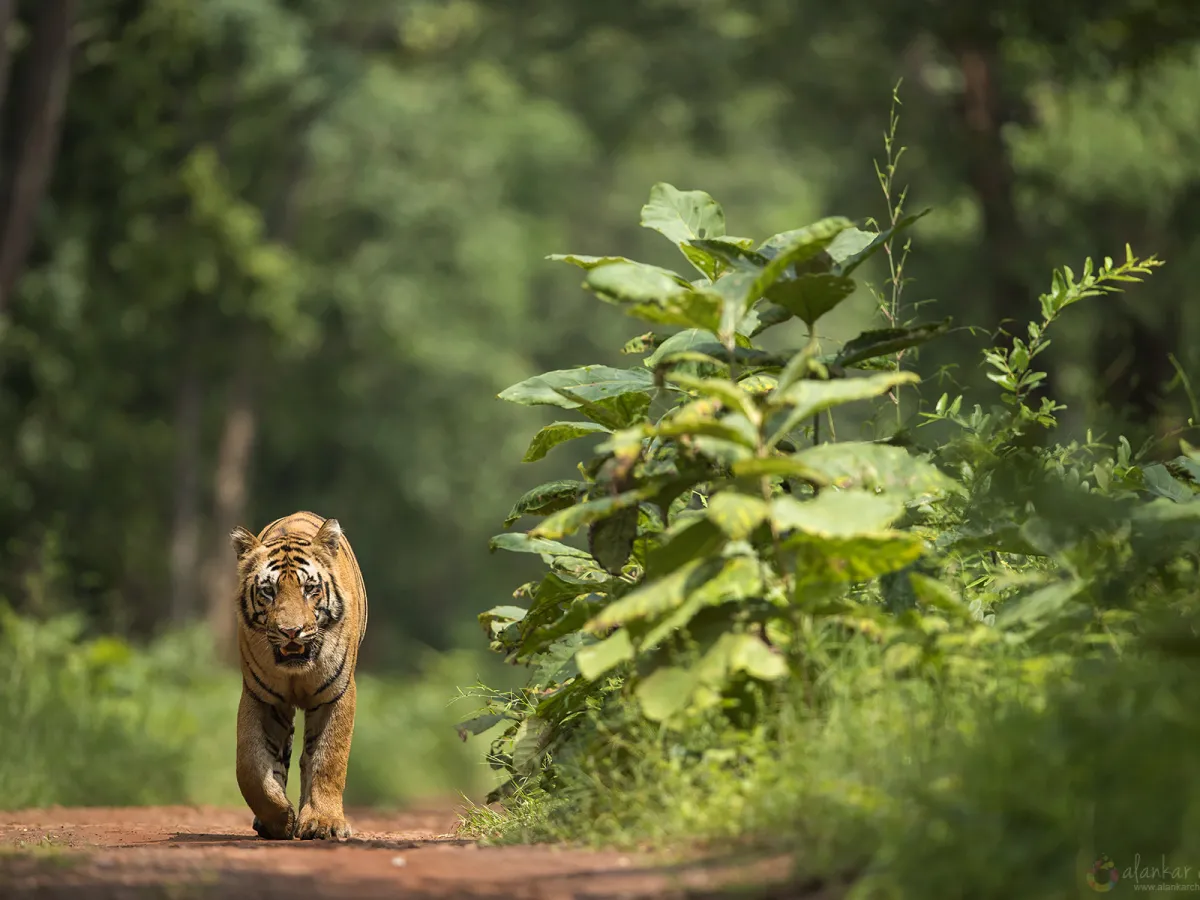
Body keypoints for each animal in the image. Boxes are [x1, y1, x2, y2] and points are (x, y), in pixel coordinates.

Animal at [229, 511, 368, 841]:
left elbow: (329, 759)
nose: (291, 631)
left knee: (308, 759)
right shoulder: (261, 696)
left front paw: (323, 822)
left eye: (310, 589)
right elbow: (250, 766)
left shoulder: (337, 693)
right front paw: (278, 818)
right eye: (269, 591)